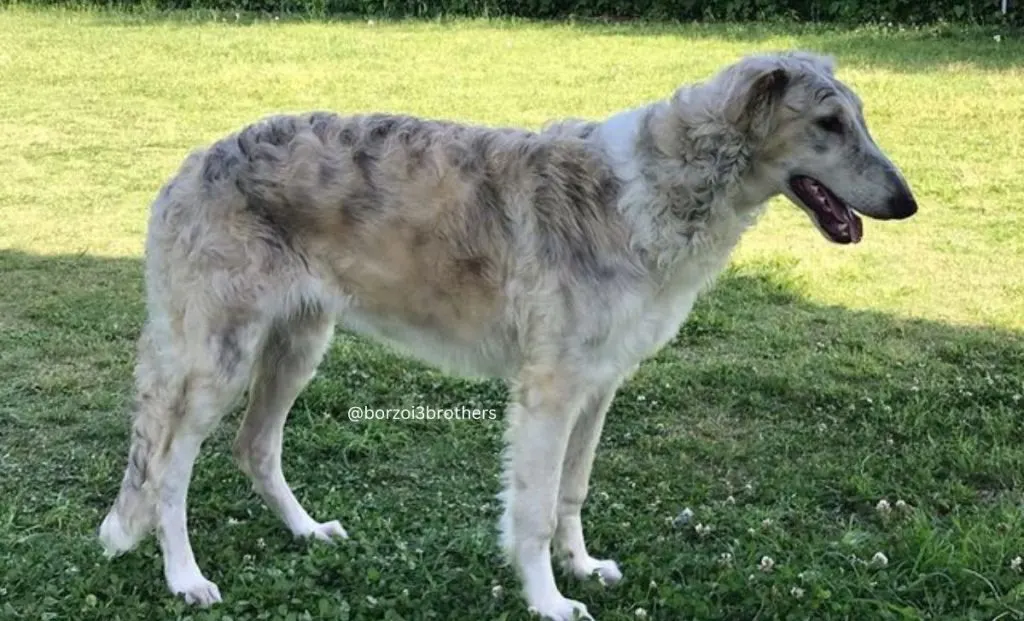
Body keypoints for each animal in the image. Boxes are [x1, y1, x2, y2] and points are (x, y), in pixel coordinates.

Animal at [99, 51, 917, 618]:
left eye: (860, 117)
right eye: (828, 123)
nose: (908, 203)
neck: (654, 189)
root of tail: (190, 166)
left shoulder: (599, 385)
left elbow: (571, 493)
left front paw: (581, 568)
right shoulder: (548, 392)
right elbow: (531, 508)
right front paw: (548, 600)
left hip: (297, 346)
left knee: (254, 446)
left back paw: (307, 530)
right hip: (218, 360)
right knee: (167, 466)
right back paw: (185, 577)